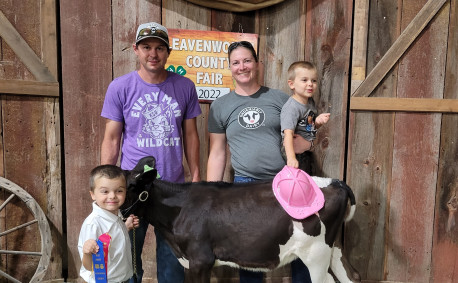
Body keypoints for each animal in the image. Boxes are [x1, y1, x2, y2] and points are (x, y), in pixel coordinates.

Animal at [123, 158, 360, 283]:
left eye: (131, 187)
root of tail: (335, 182)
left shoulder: (200, 260)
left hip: (316, 253)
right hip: (333, 247)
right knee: (351, 276)